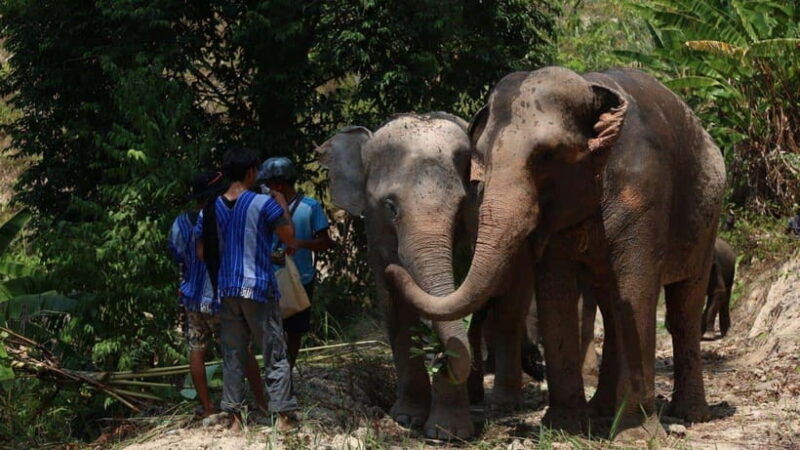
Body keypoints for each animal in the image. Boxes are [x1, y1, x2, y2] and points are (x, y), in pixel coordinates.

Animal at [387, 67, 726, 438]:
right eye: (482, 159)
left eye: (546, 157)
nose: (392, 271)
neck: (591, 89)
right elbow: (555, 288)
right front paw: (563, 426)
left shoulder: (643, 190)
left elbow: (637, 289)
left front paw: (636, 435)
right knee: (612, 309)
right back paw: (602, 410)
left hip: (707, 224)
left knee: (683, 309)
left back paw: (689, 414)